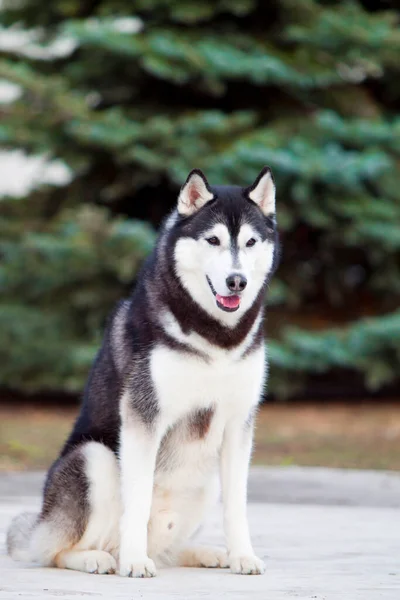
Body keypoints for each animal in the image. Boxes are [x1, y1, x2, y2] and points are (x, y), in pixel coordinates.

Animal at [7, 168, 280, 576]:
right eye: (213, 240)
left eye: (249, 242)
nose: (237, 281)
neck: (216, 337)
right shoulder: (144, 417)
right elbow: (137, 501)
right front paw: (135, 562)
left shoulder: (238, 423)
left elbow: (237, 505)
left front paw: (242, 555)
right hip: (94, 459)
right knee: (56, 551)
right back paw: (100, 557)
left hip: (206, 480)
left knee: (169, 548)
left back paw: (204, 553)